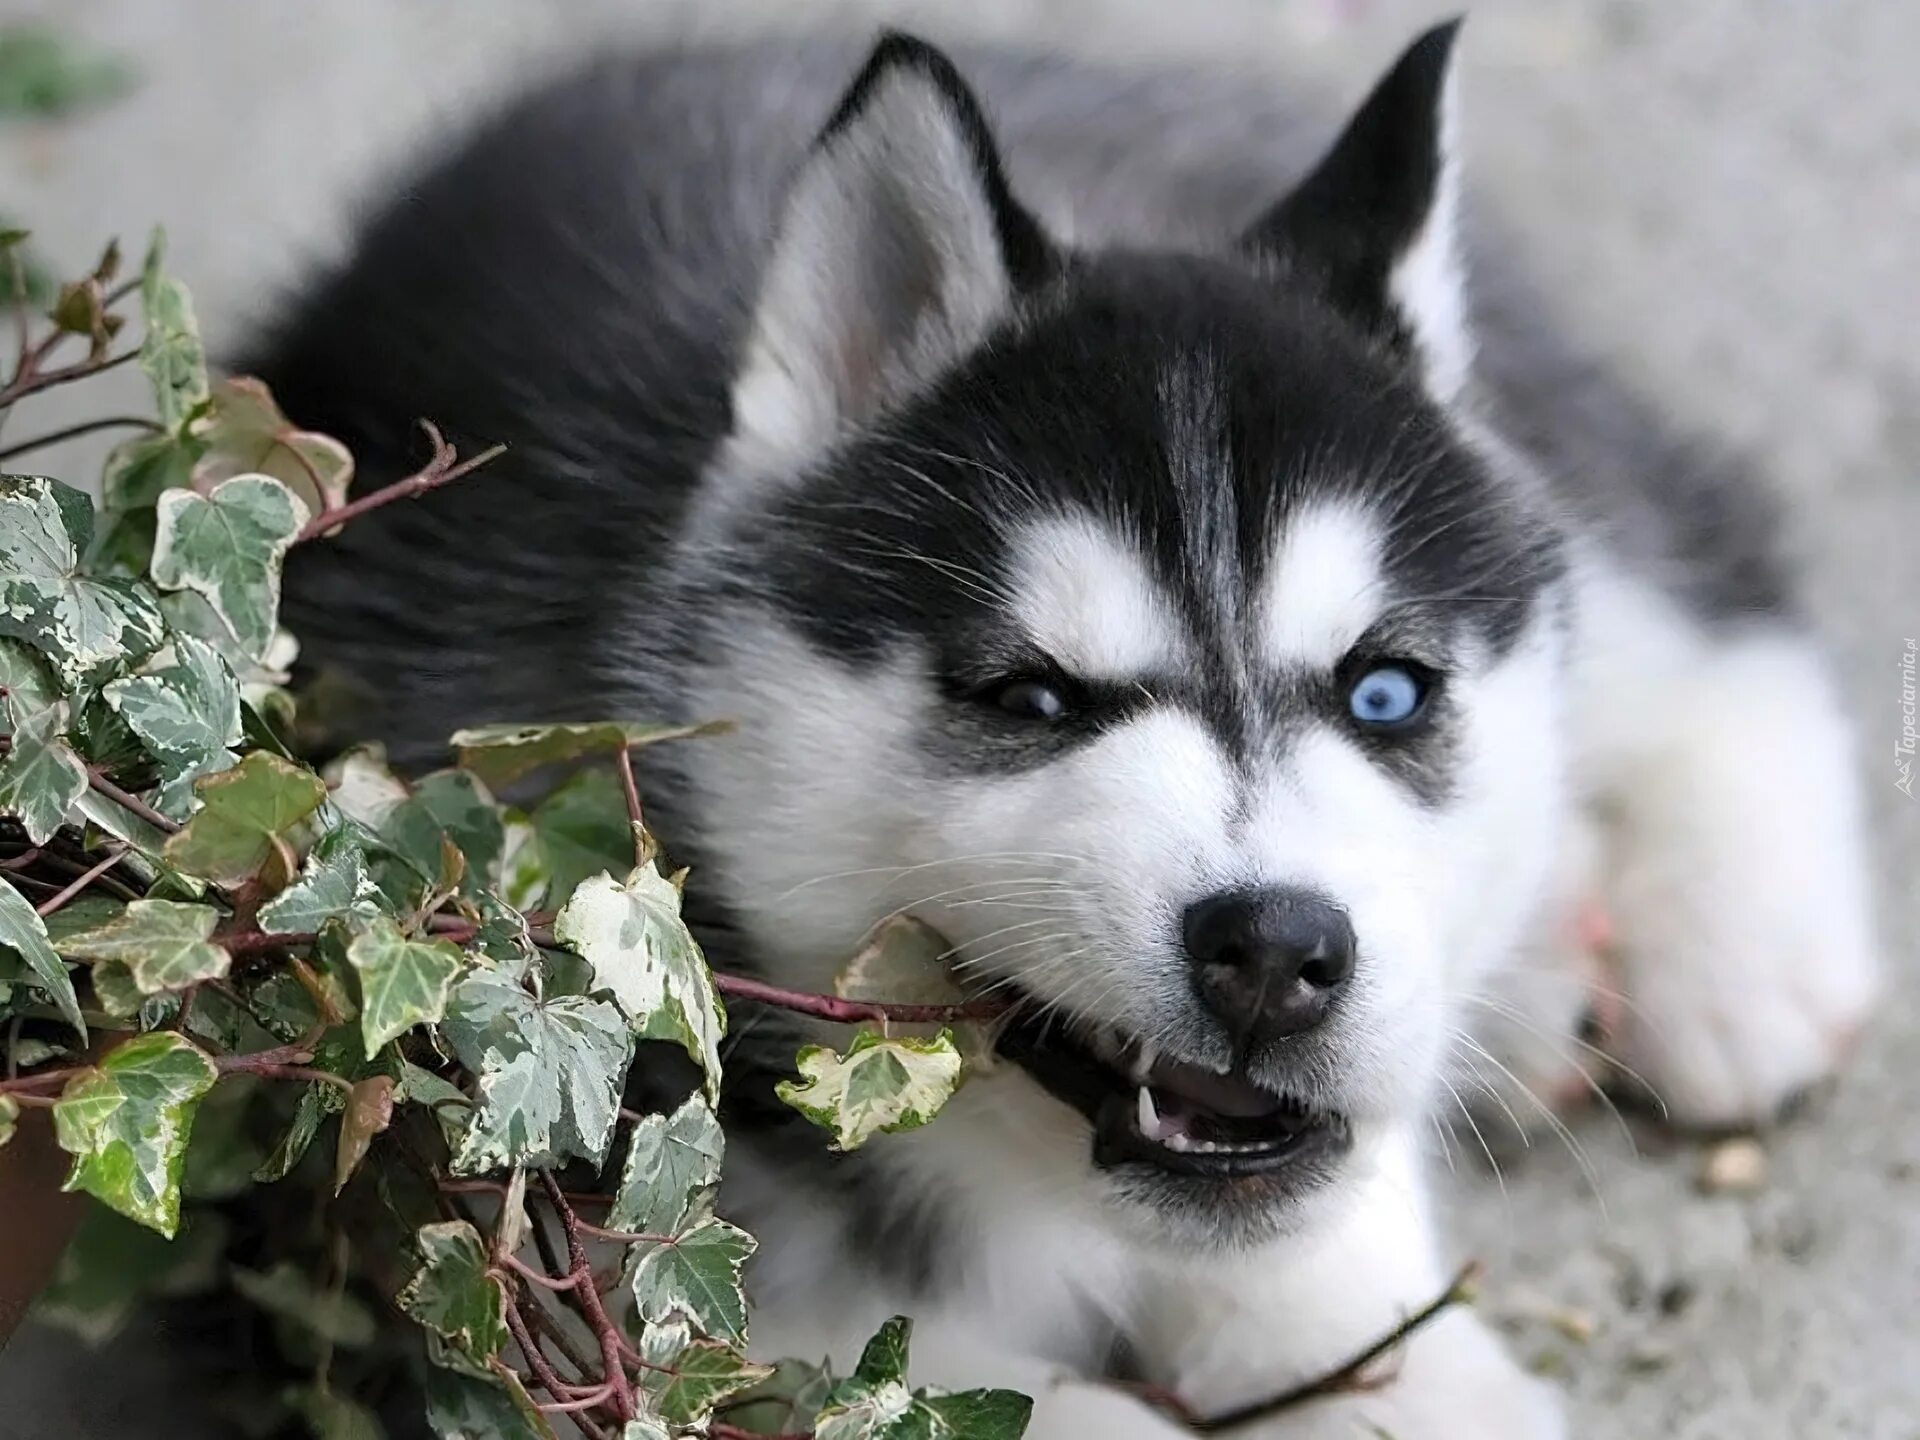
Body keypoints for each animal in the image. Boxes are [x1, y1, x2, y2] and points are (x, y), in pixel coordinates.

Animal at [263, 25, 1881, 1440]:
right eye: (1032, 700)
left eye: (1386, 695)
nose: (1278, 952)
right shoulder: (541, 1251)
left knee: (1700, 570)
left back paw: (1744, 957)